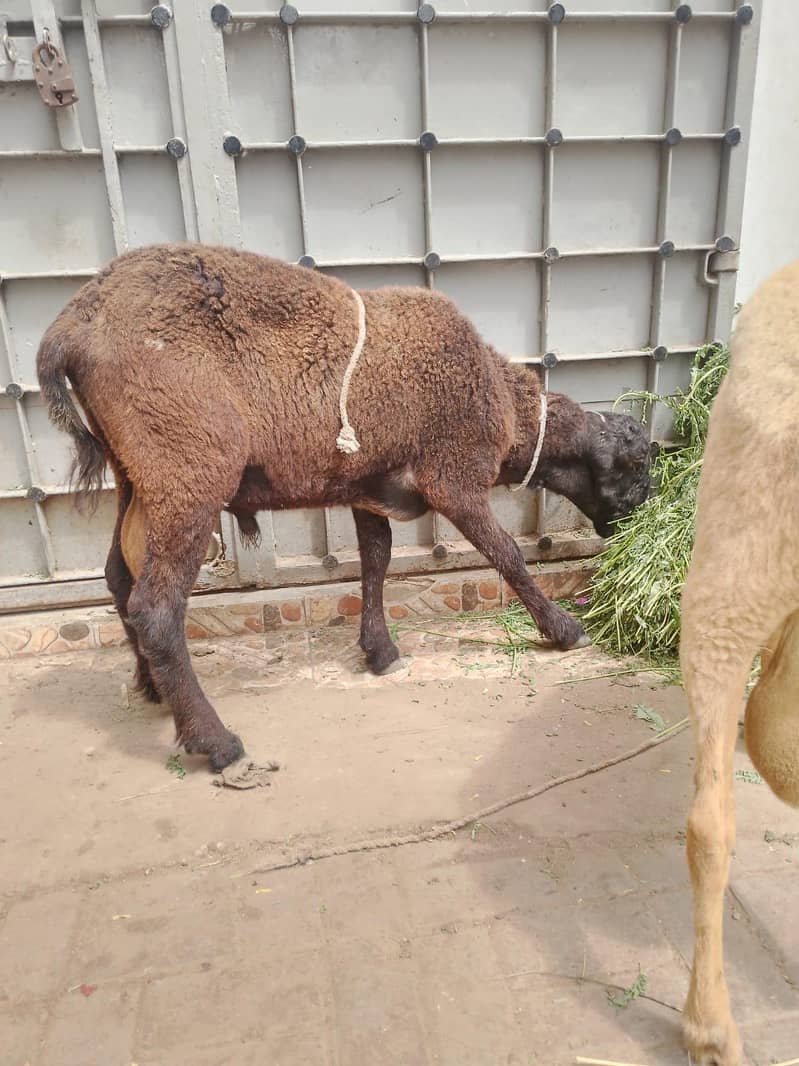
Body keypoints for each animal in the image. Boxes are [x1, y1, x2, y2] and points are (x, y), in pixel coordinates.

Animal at [37, 243, 653, 771]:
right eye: (638, 466)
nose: (635, 522)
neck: (503, 401)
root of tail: (72, 325)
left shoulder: (368, 486)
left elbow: (376, 561)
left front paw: (379, 651)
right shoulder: (452, 476)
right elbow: (507, 555)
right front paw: (564, 630)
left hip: (134, 474)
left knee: (120, 578)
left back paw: (153, 689)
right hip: (186, 463)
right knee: (156, 608)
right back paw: (216, 742)